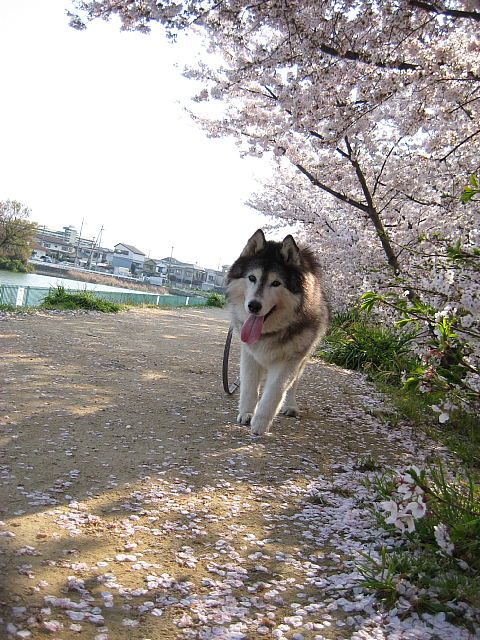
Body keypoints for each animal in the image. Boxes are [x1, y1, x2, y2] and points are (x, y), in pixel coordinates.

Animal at [227, 229, 328, 436]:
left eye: (276, 283)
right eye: (252, 278)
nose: (254, 306)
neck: (268, 332)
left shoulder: (290, 359)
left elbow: (275, 391)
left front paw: (260, 423)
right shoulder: (249, 354)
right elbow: (249, 386)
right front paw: (247, 413)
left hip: (303, 359)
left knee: (293, 385)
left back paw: (290, 406)